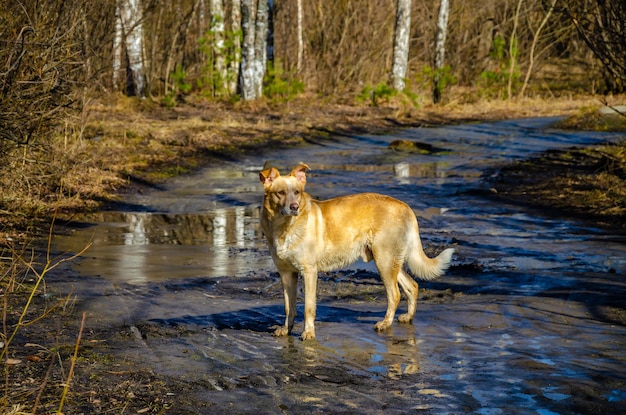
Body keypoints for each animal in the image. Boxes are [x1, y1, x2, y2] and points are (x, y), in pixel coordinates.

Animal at [258, 163, 454, 342]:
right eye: (280, 193)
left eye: (297, 192)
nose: (294, 207)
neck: (283, 227)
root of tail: (404, 205)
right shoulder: (286, 274)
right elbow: (288, 306)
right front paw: (286, 330)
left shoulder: (309, 272)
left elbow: (308, 307)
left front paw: (309, 333)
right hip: (389, 260)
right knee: (412, 286)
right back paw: (408, 317)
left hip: (384, 260)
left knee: (395, 295)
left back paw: (385, 323)